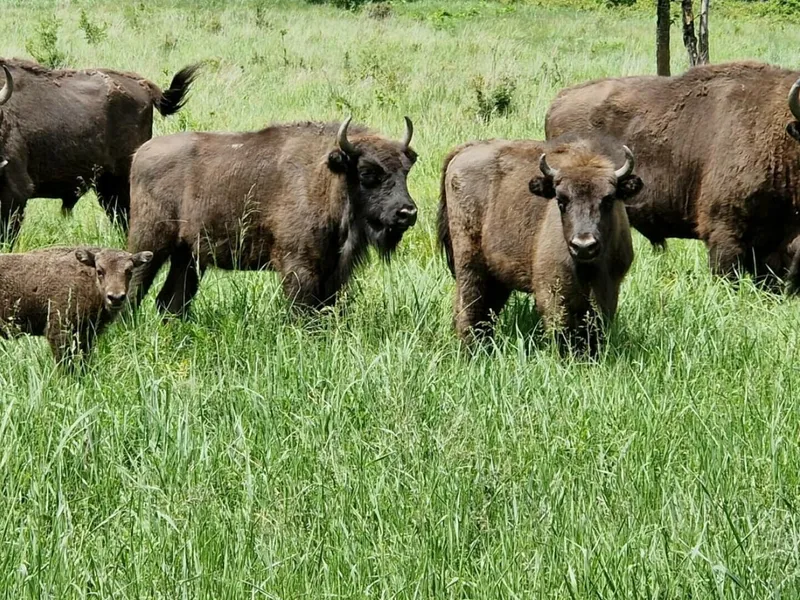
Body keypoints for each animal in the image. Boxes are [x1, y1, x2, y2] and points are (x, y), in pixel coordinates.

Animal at [0, 245, 152, 366]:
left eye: (129, 271)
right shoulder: (59, 332)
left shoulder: (87, 334)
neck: (87, 279)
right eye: (100, 271)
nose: (115, 298)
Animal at [126, 114, 418, 316]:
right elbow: (302, 309)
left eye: (405, 171)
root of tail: (139, 154)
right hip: (151, 245)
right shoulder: (298, 266)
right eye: (367, 173)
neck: (326, 177)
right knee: (135, 291)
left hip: (187, 255)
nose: (407, 212)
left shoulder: (332, 270)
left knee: (170, 300)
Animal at [438, 135, 644, 352]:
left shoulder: (609, 287)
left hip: (497, 275)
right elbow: (561, 328)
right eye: (561, 201)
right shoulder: (552, 289)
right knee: (468, 306)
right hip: (469, 263)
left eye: (608, 200)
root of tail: (465, 150)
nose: (583, 245)